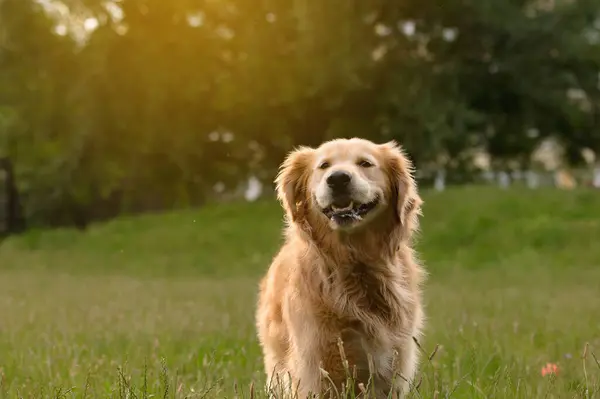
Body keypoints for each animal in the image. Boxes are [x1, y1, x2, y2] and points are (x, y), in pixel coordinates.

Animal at [255, 139, 424, 398]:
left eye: (365, 163)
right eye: (324, 166)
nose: (338, 179)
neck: (354, 264)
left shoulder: (394, 362)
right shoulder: (315, 364)